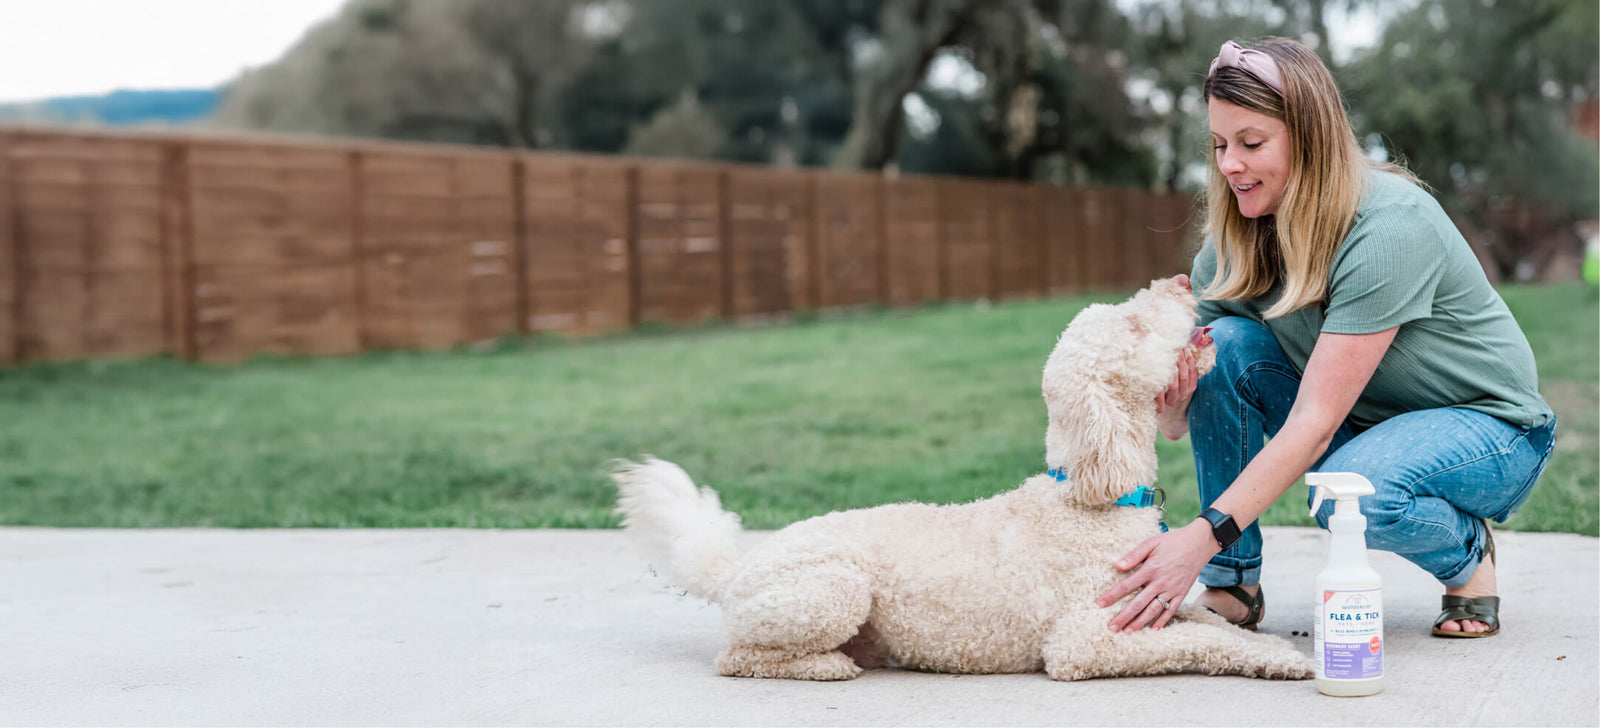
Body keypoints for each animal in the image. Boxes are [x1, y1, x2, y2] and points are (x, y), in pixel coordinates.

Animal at [612, 275, 1313, 681]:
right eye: (1133, 323)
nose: (1178, 278)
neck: (1089, 494)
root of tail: (738, 568)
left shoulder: (1152, 602)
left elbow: (1208, 624)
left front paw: (1265, 645)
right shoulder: (1087, 645)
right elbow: (1200, 643)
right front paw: (1277, 659)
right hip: (833, 589)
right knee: (736, 657)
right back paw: (828, 666)